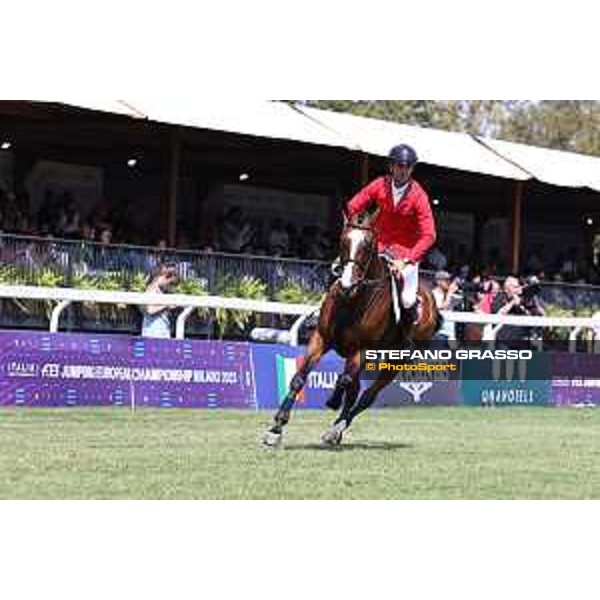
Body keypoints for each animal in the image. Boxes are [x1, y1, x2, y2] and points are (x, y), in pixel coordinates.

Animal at [264, 216, 440, 446]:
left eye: (367, 245)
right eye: (343, 241)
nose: (347, 286)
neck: (353, 300)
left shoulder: (362, 349)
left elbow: (344, 380)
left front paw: (332, 401)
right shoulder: (321, 339)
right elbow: (299, 378)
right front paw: (276, 428)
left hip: (397, 360)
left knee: (367, 395)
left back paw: (336, 428)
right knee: (355, 391)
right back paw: (336, 430)